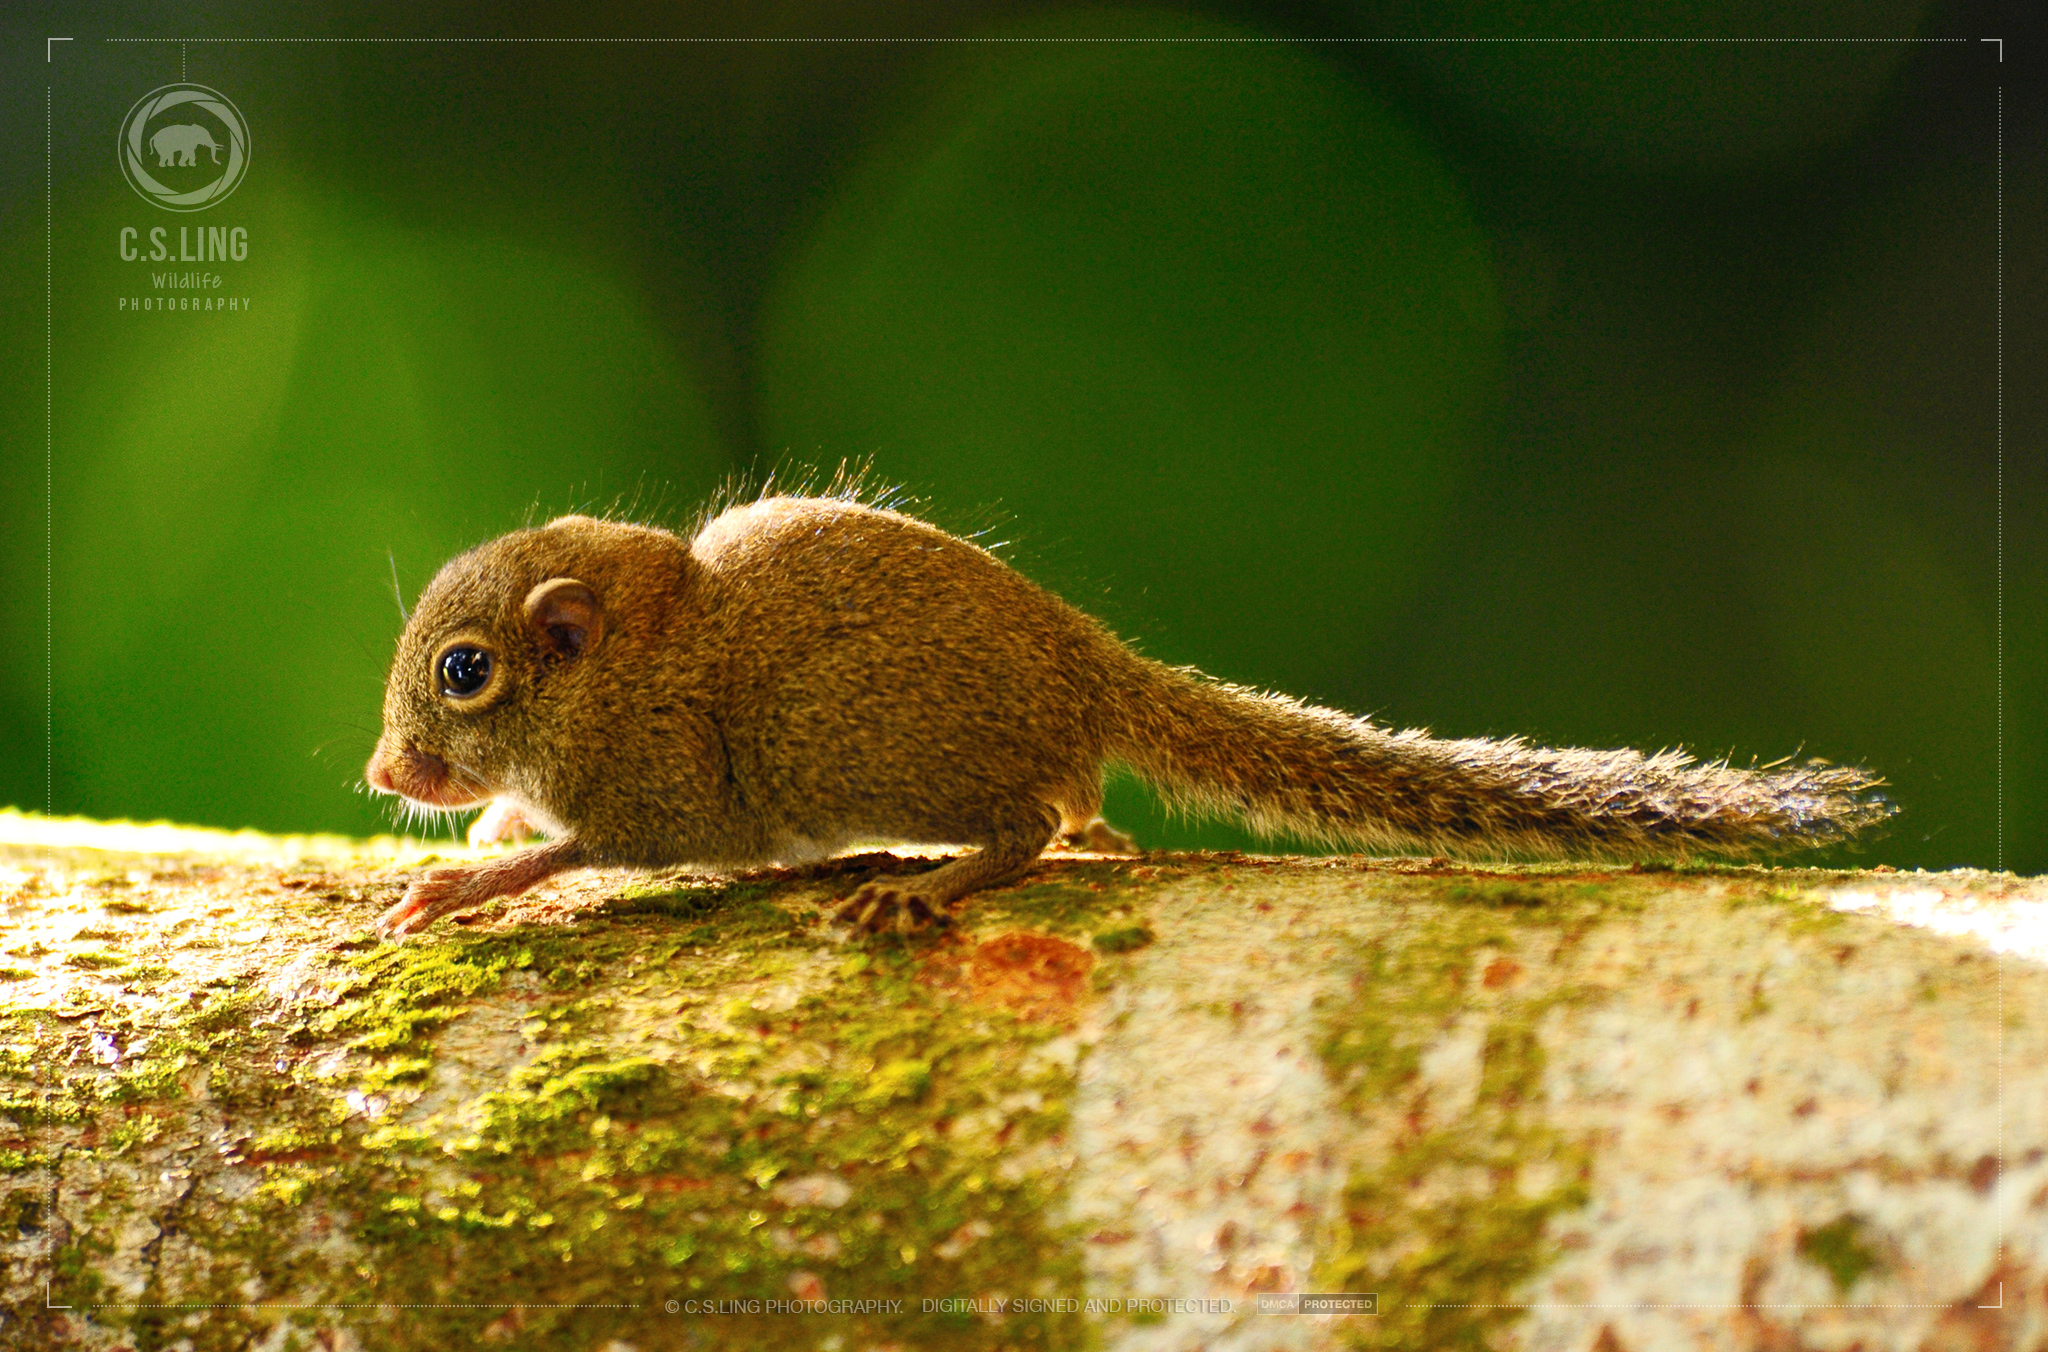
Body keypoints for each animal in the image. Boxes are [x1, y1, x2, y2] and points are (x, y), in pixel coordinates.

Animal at [365, 492, 1892, 939]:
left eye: (465, 672)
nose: (385, 770)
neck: (634, 662)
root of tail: (1090, 666)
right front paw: (488, 829)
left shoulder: (668, 787)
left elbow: (596, 849)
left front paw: (482, 873)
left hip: (876, 755)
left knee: (1028, 825)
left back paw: (938, 883)